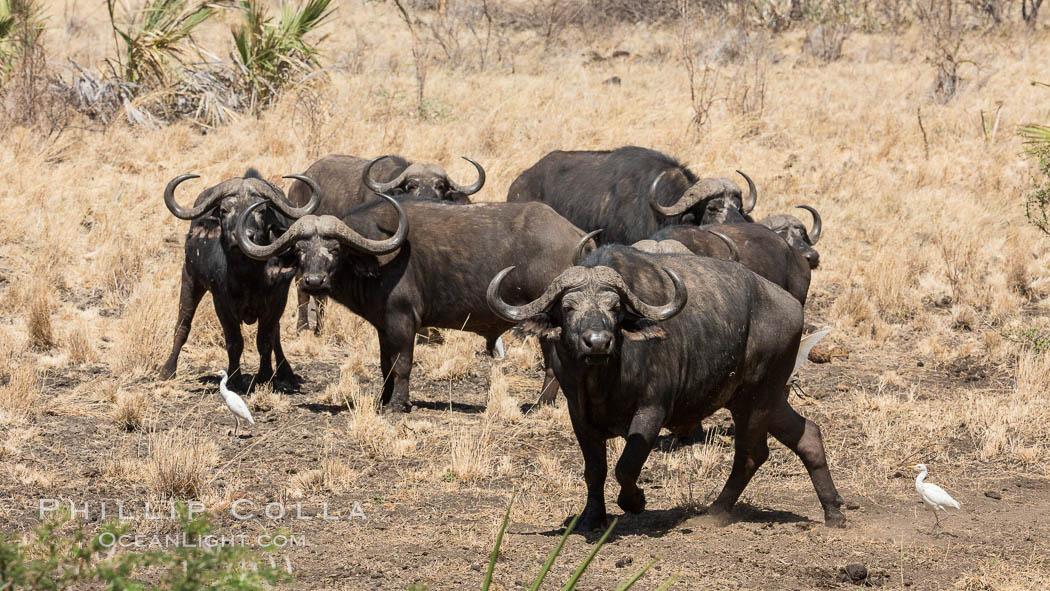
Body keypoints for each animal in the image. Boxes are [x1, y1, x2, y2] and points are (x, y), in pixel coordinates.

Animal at [159, 169, 319, 390]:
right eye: (224, 210)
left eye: (261, 211)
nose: (243, 235)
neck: (247, 274)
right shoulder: (221, 302)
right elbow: (234, 342)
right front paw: (234, 379)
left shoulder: (278, 298)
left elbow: (266, 340)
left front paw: (265, 376)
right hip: (190, 277)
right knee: (183, 323)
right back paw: (167, 370)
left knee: (275, 334)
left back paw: (285, 372)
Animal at [234, 196, 588, 413]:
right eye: (300, 249)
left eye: (334, 249)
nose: (313, 281)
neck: (377, 257)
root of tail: (575, 236)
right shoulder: (383, 325)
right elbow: (385, 364)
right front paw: (383, 399)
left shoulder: (403, 321)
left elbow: (403, 363)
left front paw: (398, 404)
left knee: (552, 362)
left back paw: (540, 403)